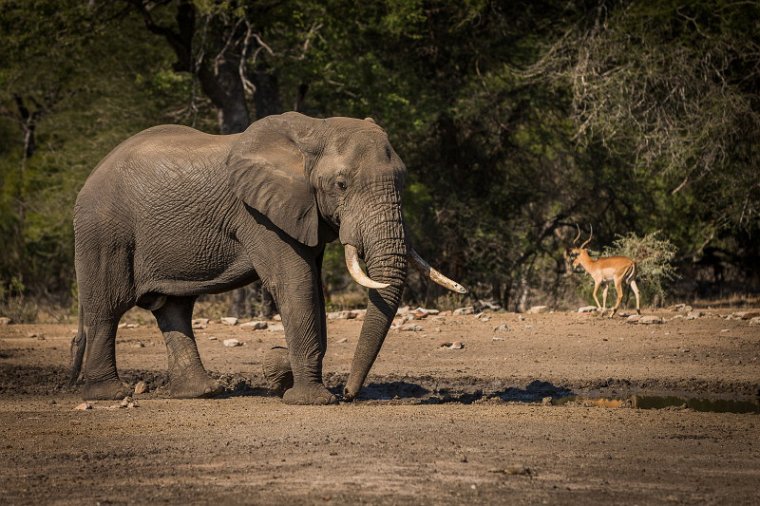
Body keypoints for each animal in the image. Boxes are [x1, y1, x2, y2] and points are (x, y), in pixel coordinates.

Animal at [71, 112, 466, 406]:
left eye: (403, 181)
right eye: (341, 185)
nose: (350, 393)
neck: (313, 131)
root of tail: (94, 171)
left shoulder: (304, 212)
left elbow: (313, 288)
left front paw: (282, 373)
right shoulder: (258, 215)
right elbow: (295, 284)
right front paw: (310, 399)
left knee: (174, 308)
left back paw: (202, 392)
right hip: (103, 230)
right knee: (109, 306)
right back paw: (111, 394)